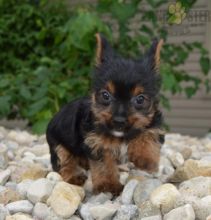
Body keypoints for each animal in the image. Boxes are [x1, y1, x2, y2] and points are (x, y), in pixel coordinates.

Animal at [46, 33, 165, 195]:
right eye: (105, 95)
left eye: (140, 99)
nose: (119, 120)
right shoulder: (97, 142)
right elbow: (104, 164)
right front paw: (108, 185)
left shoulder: (151, 121)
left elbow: (147, 134)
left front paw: (145, 157)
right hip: (57, 143)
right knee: (64, 160)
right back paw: (74, 176)